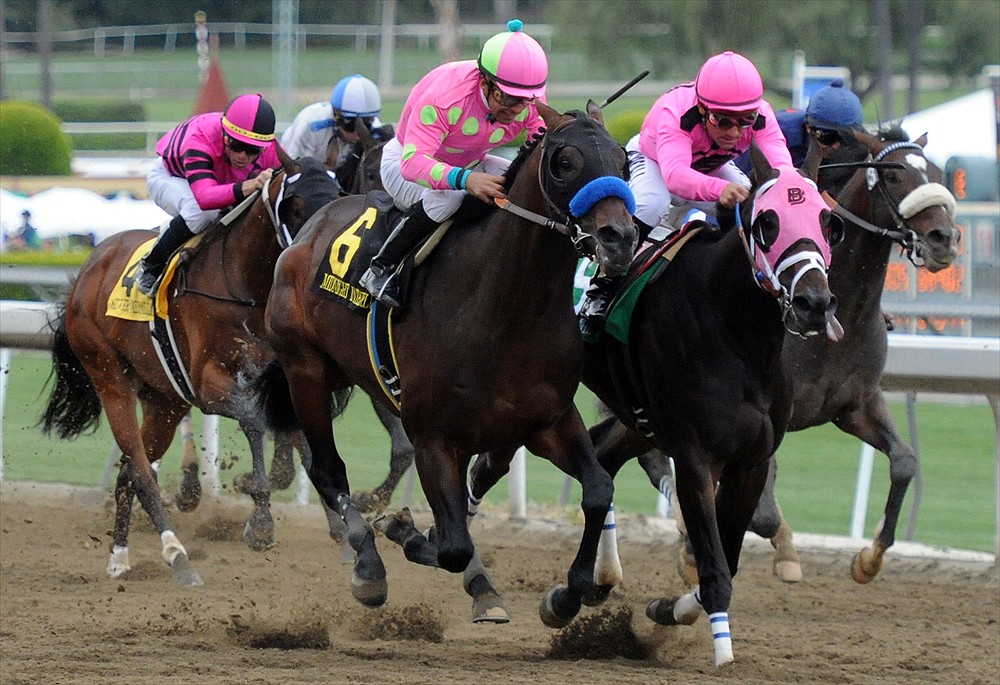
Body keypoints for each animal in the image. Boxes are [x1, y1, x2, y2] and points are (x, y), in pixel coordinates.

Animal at [40, 151, 340, 584]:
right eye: (295, 204)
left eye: (338, 196)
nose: (317, 260)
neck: (244, 286)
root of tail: (88, 267)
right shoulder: (209, 386)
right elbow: (254, 421)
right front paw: (260, 522)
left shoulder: (282, 379)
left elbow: (301, 438)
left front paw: (341, 527)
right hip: (108, 375)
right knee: (141, 471)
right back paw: (176, 554)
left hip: (164, 400)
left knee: (129, 471)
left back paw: (120, 556)